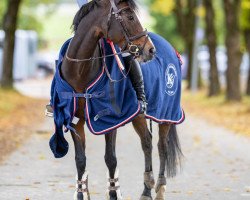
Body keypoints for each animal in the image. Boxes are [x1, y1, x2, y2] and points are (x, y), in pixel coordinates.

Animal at [59, 0, 183, 198]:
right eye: (130, 17)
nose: (150, 50)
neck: (80, 73)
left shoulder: (111, 121)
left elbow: (110, 159)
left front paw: (113, 194)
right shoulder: (74, 122)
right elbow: (80, 160)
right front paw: (81, 194)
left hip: (166, 115)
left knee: (162, 146)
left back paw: (159, 189)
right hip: (139, 116)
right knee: (147, 142)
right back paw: (146, 190)